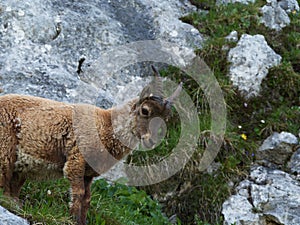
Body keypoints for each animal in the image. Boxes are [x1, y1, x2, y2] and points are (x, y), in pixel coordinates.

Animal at [0, 67, 182, 225]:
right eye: (145, 110)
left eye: (165, 118)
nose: (151, 141)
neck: (106, 126)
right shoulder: (76, 161)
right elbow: (79, 193)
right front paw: (72, 219)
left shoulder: (89, 173)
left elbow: (87, 198)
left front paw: (82, 221)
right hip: (6, 148)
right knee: (4, 180)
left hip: (21, 165)